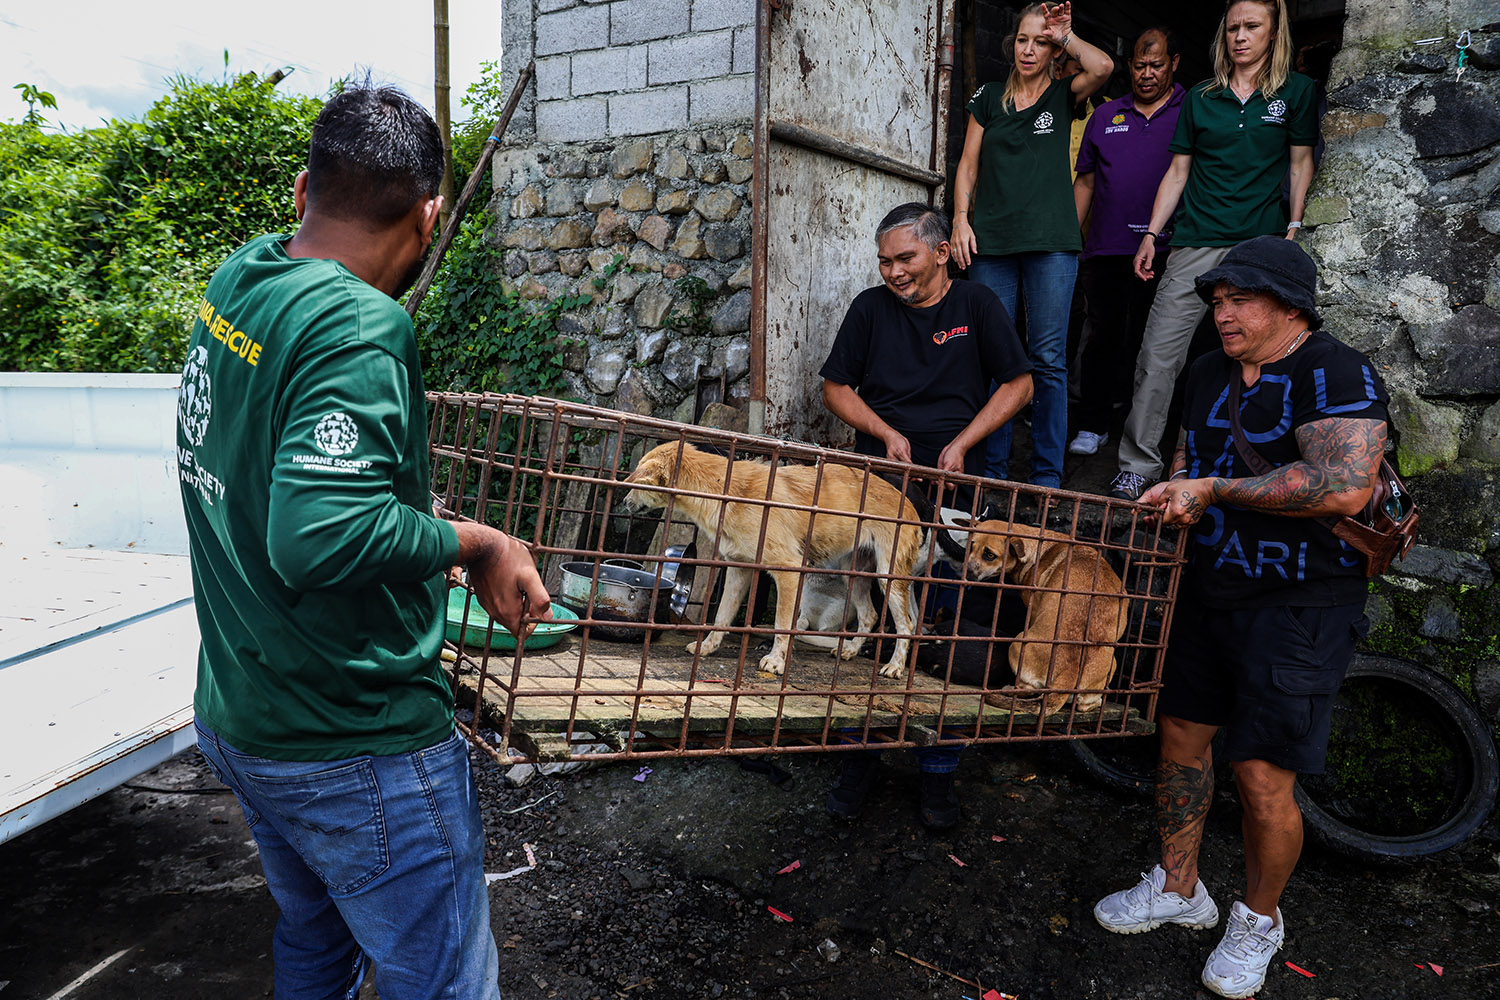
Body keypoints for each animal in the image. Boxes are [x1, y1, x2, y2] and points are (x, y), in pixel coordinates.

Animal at [621, 440, 924, 680]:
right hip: (854, 573)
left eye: (636, 483)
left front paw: (776, 661)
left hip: (889, 577)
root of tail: (912, 506)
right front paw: (707, 646)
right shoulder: (738, 570)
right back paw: (849, 649)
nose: (623, 502)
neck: (726, 489)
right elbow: (722, 615)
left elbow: (782, 624)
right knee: (870, 614)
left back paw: (895, 667)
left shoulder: (789, 571)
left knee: (906, 625)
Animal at [960, 515, 1128, 719]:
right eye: (971, 547)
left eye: (990, 555)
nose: (963, 572)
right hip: (1112, 664)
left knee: (1028, 688)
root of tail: (1069, 673)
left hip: (1018, 642)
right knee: (1084, 706)